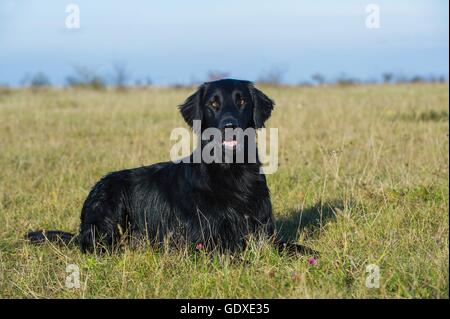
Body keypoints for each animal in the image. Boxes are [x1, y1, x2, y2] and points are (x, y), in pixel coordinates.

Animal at [27, 80, 316, 258]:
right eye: (213, 104)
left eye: (242, 101)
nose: (230, 126)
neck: (231, 172)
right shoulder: (203, 242)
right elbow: (231, 255)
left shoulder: (266, 235)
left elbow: (299, 249)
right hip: (111, 203)